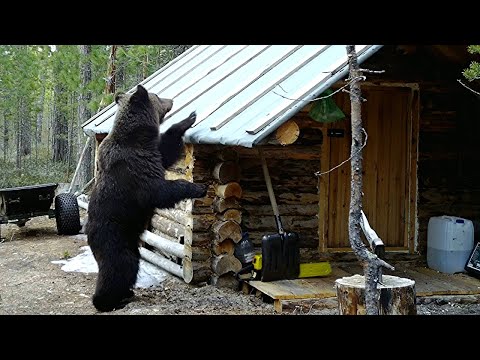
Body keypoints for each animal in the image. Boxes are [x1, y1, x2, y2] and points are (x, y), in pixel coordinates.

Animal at [85, 84, 205, 312]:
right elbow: (158, 191)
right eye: (157, 95)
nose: (172, 100)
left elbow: (167, 149)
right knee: (121, 266)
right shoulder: (135, 168)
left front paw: (189, 118)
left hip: (130, 240)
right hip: (115, 236)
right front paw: (198, 187)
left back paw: (127, 293)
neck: (138, 137)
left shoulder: (153, 152)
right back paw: (109, 300)